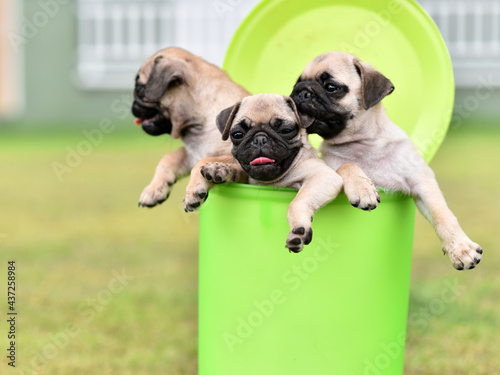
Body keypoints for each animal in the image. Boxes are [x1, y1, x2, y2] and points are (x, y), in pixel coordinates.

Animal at [132, 47, 249, 209]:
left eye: (139, 88)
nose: (132, 106)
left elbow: (204, 161)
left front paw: (193, 191)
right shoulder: (191, 154)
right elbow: (169, 157)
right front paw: (154, 189)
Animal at [189, 93, 380, 253]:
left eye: (286, 131)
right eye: (237, 134)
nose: (260, 138)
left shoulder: (323, 176)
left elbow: (296, 203)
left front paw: (298, 231)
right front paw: (215, 172)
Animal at [292, 52, 482, 270]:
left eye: (331, 87)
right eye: (297, 83)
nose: (300, 92)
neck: (362, 143)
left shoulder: (422, 181)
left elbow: (442, 214)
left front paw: (461, 248)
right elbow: (348, 165)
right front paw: (363, 189)